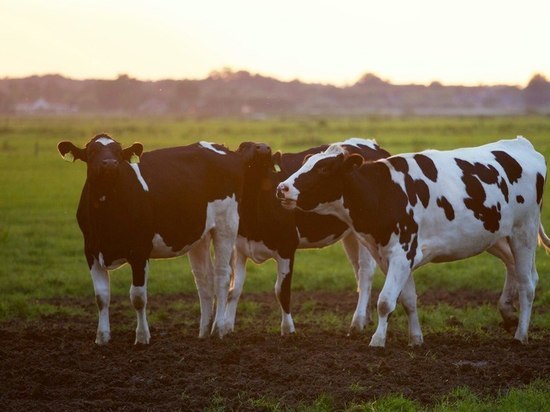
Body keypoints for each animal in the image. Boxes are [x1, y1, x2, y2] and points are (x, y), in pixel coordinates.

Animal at [57, 134, 270, 344]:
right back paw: (203, 331)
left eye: (118, 152)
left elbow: (138, 297)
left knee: (222, 276)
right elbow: (101, 296)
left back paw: (218, 329)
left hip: (226, 224)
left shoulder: (139, 251)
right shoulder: (91, 250)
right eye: (92, 152)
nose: (110, 164)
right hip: (198, 235)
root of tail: (227, 151)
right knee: (204, 280)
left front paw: (142, 337)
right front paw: (102, 338)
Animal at [225, 138, 392, 334]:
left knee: (365, 273)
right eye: (243, 147)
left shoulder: (287, 246)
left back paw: (357, 322)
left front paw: (288, 330)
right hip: (352, 235)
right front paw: (225, 327)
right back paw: (366, 318)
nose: (264, 148)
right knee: (357, 270)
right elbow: (234, 289)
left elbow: (282, 291)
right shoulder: (240, 248)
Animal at [278, 137, 548, 346]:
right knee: (519, 270)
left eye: (324, 169)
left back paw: (521, 334)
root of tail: (521, 144)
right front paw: (415, 338)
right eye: (306, 163)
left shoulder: (402, 253)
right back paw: (508, 314)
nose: (282, 188)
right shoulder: (389, 256)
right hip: (495, 236)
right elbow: (407, 300)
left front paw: (378, 340)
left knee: (527, 284)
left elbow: (385, 301)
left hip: (524, 231)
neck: (383, 191)